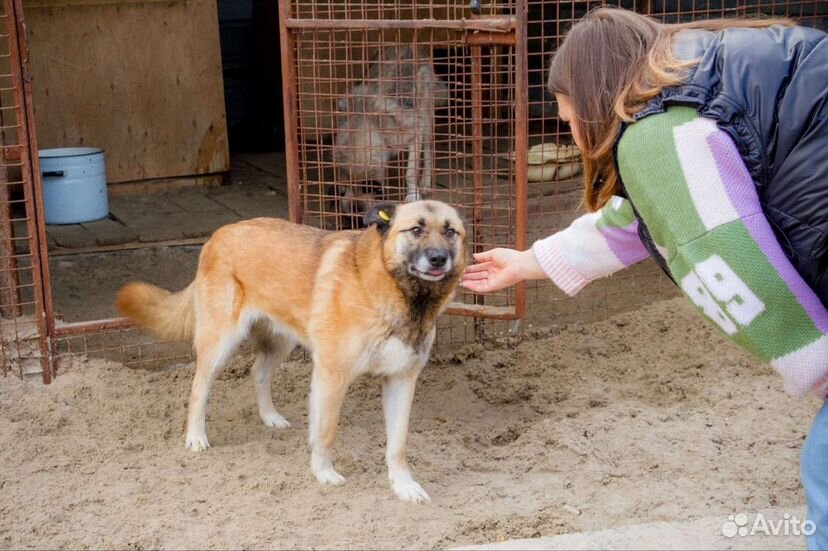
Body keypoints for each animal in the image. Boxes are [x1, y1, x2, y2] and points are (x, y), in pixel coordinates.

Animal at [115, 201, 466, 502]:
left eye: (451, 231)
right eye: (416, 229)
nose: (438, 258)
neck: (400, 295)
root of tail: (221, 232)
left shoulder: (401, 380)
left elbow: (398, 444)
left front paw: (404, 486)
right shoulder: (332, 376)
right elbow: (326, 431)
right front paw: (323, 473)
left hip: (281, 340)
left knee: (258, 371)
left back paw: (269, 417)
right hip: (220, 343)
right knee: (198, 388)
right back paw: (196, 437)